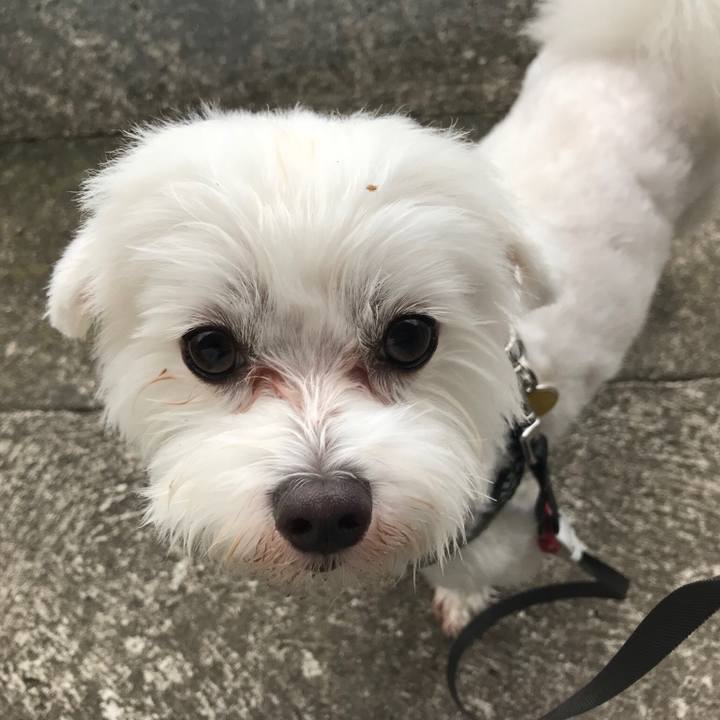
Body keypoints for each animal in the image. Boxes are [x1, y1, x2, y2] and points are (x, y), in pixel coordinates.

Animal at [47, 0, 720, 636]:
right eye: (209, 350)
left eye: (410, 337)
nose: (323, 511)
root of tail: (645, 43)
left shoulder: (513, 527)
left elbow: (468, 568)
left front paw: (462, 602)